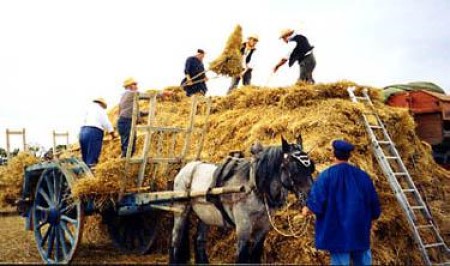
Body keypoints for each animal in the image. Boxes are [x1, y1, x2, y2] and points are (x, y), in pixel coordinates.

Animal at [170, 136, 316, 264]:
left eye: (311, 168)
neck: (255, 187)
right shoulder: (243, 228)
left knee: (199, 240)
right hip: (181, 211)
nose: (310, 199)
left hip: (205, 215)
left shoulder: (263, 228)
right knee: (175, 240)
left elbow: (256, 255)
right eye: (294, 168)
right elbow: (242, 257)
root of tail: (186, 168)